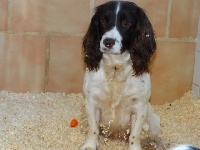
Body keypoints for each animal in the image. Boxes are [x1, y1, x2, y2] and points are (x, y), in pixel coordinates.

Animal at [80, 0, 200, 149]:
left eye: (126, 23)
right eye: (103, 20)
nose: (108, 42)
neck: (115, 69)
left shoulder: (140, 107)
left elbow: (134, 135)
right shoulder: (91, 101)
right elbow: (93, 129)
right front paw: (90, 145)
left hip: (152, 117)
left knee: (155, 134)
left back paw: (163, 143)